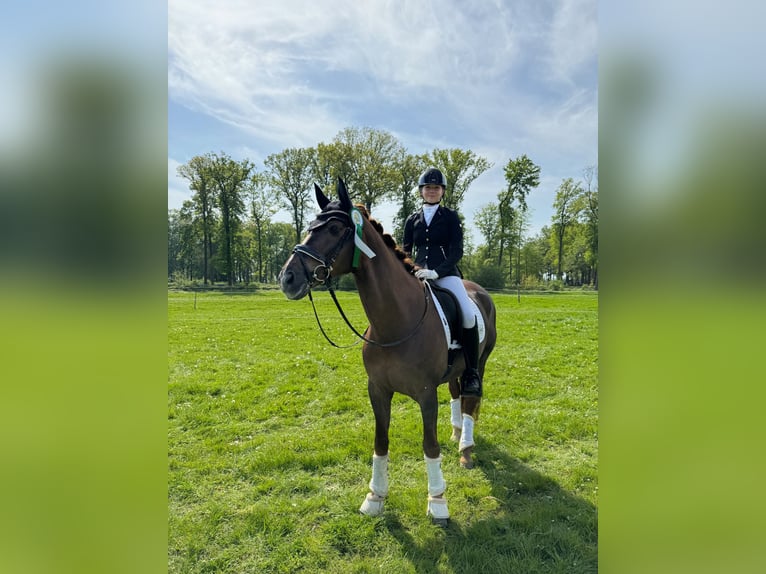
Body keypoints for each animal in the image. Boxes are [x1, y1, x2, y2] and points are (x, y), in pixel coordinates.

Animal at [280, 179, 500, 528]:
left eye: (333, 228)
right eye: (311, 225)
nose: (287, 278)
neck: (396, 322)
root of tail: (478, 291)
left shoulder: (425, 394)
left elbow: (429, 445)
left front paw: (438, 502)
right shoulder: (378, 390)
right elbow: (380, 442)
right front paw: (375, 497)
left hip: (479, 363)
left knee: (470, 399)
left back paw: (465, 448)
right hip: (457, 369)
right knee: (456, 392)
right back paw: (456, 435)